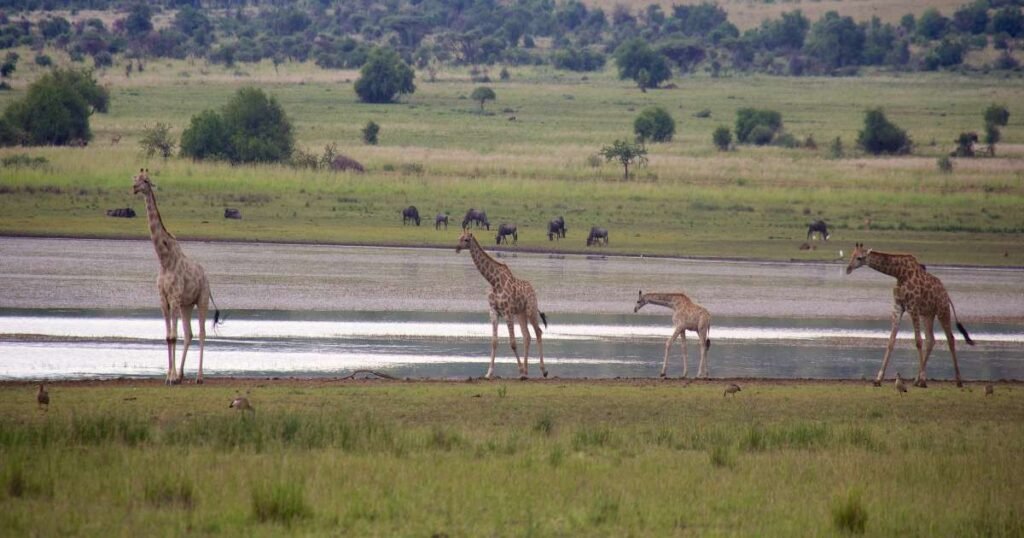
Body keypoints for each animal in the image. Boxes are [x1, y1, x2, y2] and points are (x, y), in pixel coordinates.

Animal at [132, 170, 218, 383]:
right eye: (134, 178)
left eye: (145, 180)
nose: (134, 188)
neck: (165, 259)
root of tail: (206, 277)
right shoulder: (164, 299)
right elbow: (168, 337)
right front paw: (170, 376)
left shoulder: (174, 297)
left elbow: (173, 335)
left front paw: (170, 377)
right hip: (187, 305)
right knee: (189, 334)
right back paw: (181, 374)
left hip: (202, 299)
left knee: (202, 333)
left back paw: (199, 377)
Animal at [458, 228, 548, 379]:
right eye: (458, 237)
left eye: (466, 239)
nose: (457, 248)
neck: (493, 281)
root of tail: (532, 289)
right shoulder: (493, 311)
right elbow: (494, 342)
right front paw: (489, 373)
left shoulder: (507, 312)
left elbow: (512, 343)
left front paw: (520, 370)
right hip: (520, 314)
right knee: (527, 336)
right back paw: (527, 371)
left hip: (531, 309)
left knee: (538, 332)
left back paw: (543, 370)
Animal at [847, 241, 974, 385]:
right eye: (851, 255)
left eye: (859, 258)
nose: (848, 269)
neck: (899, 273)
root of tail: (946, 295)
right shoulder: (898, 307)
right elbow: (891, 341)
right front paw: (878, 379)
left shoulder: (913, 307)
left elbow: (918, 341)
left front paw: (923, 380)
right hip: (928, 314)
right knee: (931, 340)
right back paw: (916, 379)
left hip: (943, 310)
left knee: (950, 339)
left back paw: (958, 380)